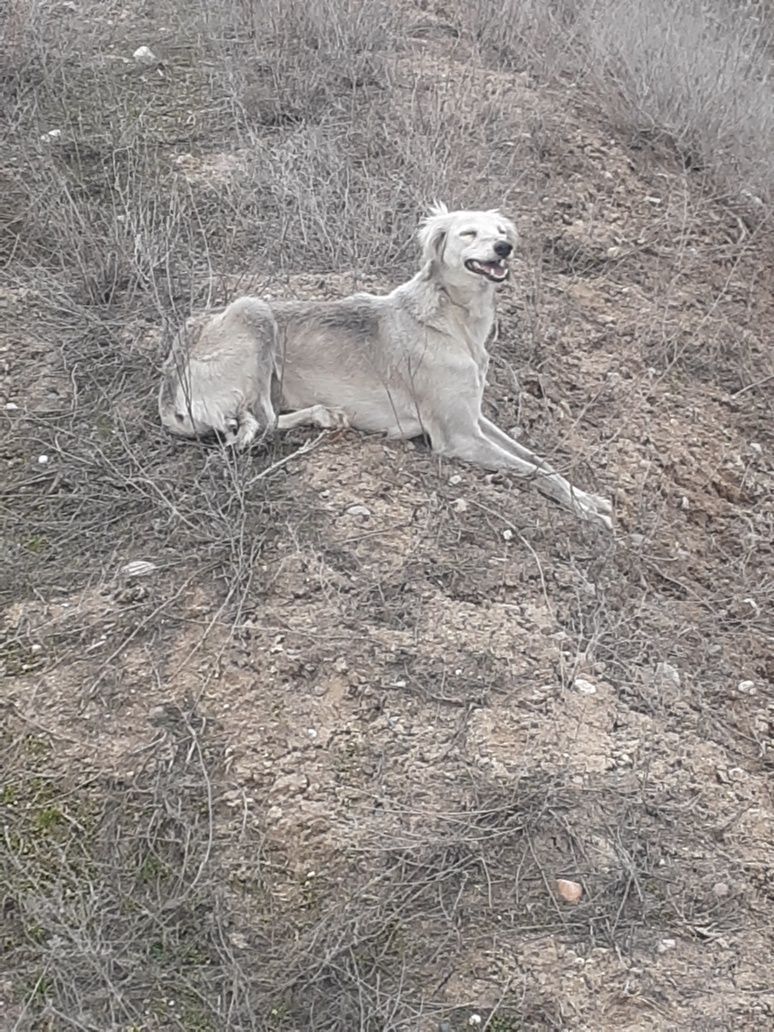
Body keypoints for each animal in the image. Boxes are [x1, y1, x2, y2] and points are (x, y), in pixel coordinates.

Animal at [160, 204, 615, 528]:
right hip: (253, 308)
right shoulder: (458, 436)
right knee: (263, 422)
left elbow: (540, 461)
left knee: (266, 418)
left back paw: (325, 414)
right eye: (469, 233)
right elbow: (532, 470)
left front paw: (588, 498)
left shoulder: (475, 419)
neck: (452, 318)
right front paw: (586, 510)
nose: (505, 248)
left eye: (501, 233)